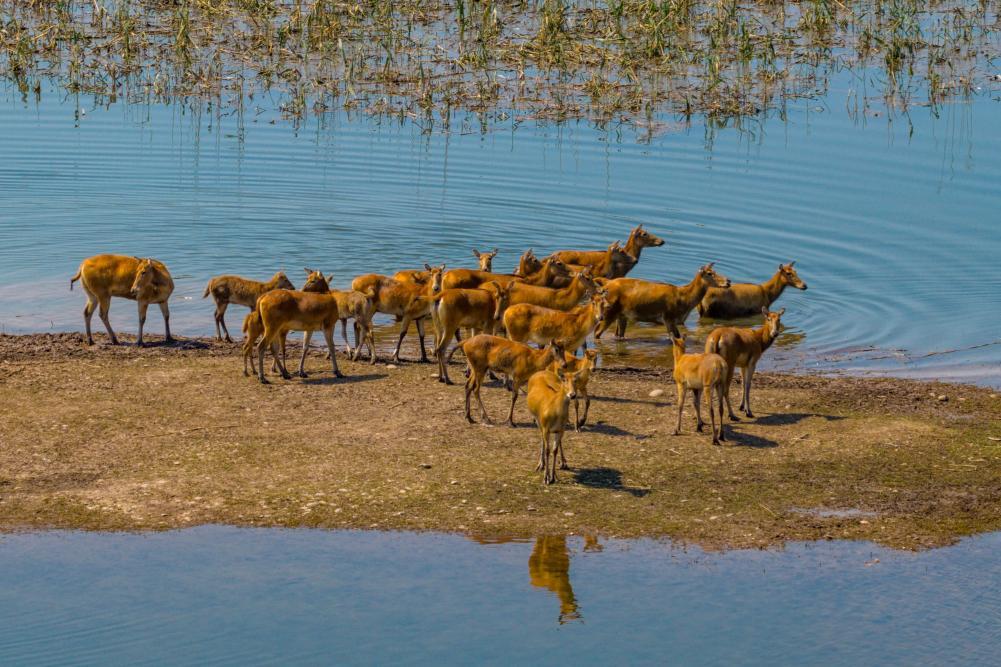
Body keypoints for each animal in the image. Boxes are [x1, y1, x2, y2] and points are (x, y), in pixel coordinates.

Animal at [594, 263, 731, 340]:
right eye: (710, 273)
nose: (728, 281)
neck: (685, 300)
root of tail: (605, 283)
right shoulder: (668, 318)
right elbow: (674, 338)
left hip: (622, 315)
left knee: (618, 334)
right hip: (608, 312)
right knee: (597, 332)